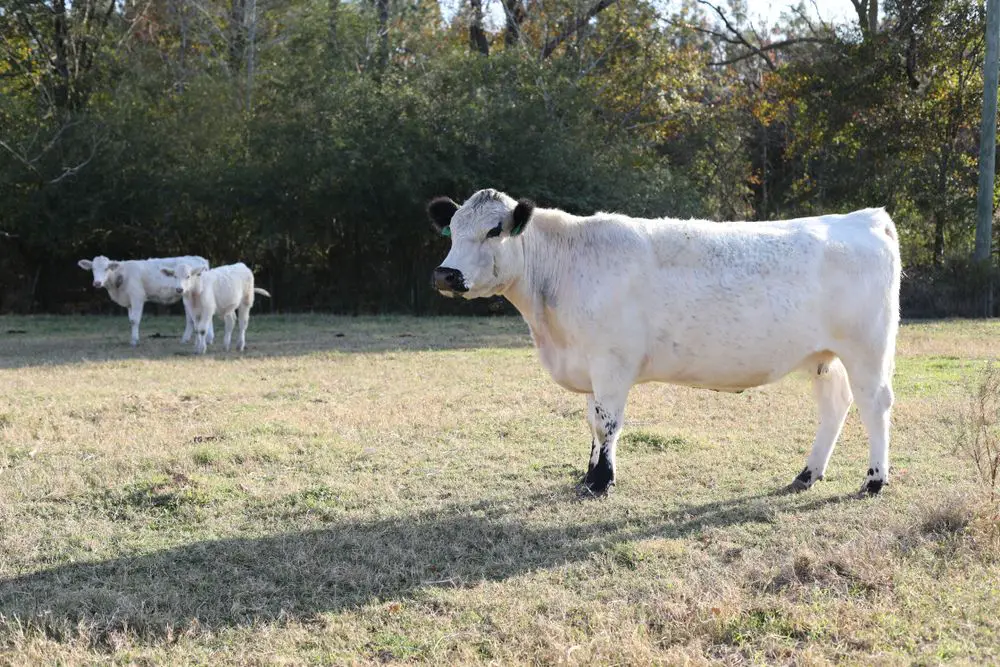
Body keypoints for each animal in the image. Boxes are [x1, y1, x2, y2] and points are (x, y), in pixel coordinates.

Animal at [79, 256, 216, 350]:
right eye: (93, 269)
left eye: (106, 268)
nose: (97, 283)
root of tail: (199, 258)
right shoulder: (129, 302)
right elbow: (130, 319)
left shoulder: (137, 297)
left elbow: (134, 320)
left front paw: (134, 341)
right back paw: (207, 339)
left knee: (192, 319)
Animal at [426, 188, 904, 496]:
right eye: (451, 230)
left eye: (494, 230)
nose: (446, 274)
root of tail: (863, 217)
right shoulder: (590, 366)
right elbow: (591, 422)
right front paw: (588, 474)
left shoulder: (611, 362)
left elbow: (607, 424)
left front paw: (601, 482)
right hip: (825, 356)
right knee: (835, 404)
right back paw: (807, 474)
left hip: (867, 348)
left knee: (874, 404)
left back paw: (874, 480)